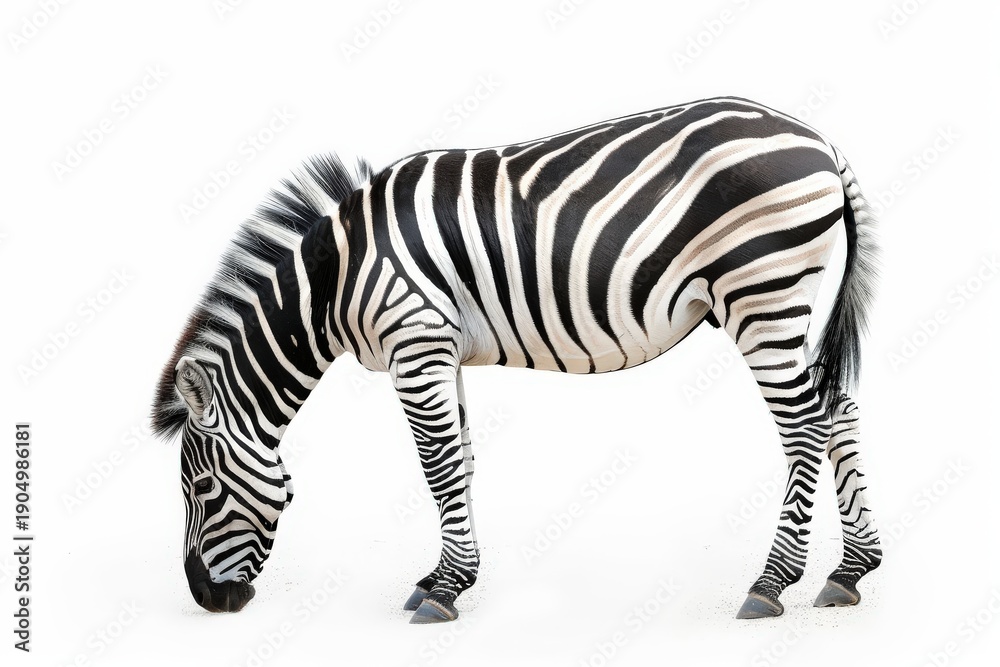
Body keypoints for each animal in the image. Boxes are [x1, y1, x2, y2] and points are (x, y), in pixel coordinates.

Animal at [151, 96, 882, 623]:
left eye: (202, 490)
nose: (205, 600)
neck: (335, 279)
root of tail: (821, 141)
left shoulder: (415, 341)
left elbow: (439, 467)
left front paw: (445, 589)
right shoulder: (440, 350)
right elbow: (464, 460)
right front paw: (445, 575)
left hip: (762, 291)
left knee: (803, 426)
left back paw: (772, 583)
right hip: (783, 300)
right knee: (838, 407)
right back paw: (850, 571)